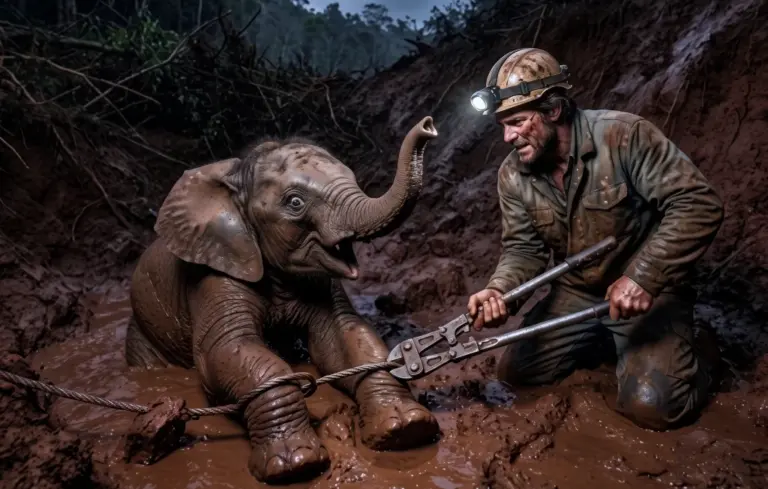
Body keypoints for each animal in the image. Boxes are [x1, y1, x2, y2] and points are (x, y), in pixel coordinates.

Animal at [123, 116, 441, 484]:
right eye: (295, 203)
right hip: (141, 336)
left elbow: (345, 338)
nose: (428, 126)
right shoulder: (215, 271)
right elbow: (228, 350)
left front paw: (406, 429)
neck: (238, 180)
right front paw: (294, 463)